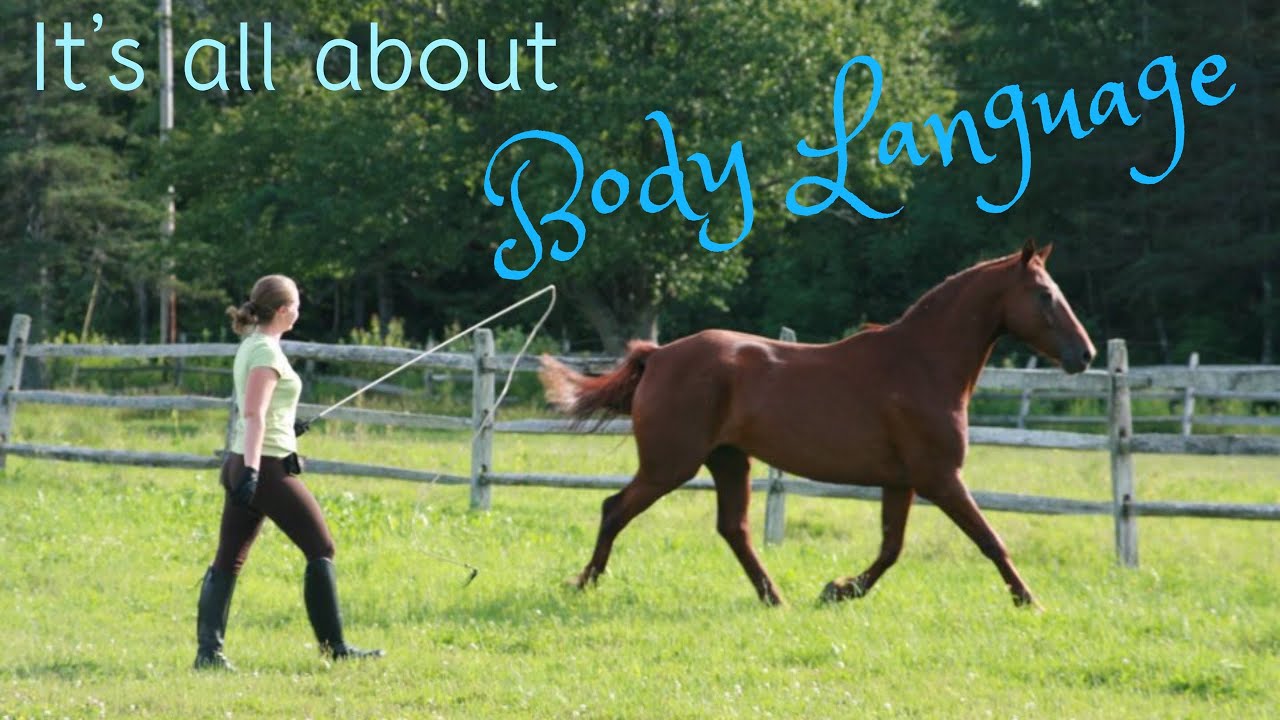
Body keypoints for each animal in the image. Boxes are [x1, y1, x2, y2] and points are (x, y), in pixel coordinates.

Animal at [538, 240, 1096, 608]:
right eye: (1045, 295)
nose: (1084, 354)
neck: (922, 363)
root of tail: (656, 356)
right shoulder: (940, 477)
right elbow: (989, 540)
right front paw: (1029, 601)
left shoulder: (902, 481)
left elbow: (892, 548)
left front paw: (838, 590)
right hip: (670, 465)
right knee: (615, 509)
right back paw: (584, 583)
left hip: (728, 460)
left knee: (733, 527)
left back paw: (774, 597)